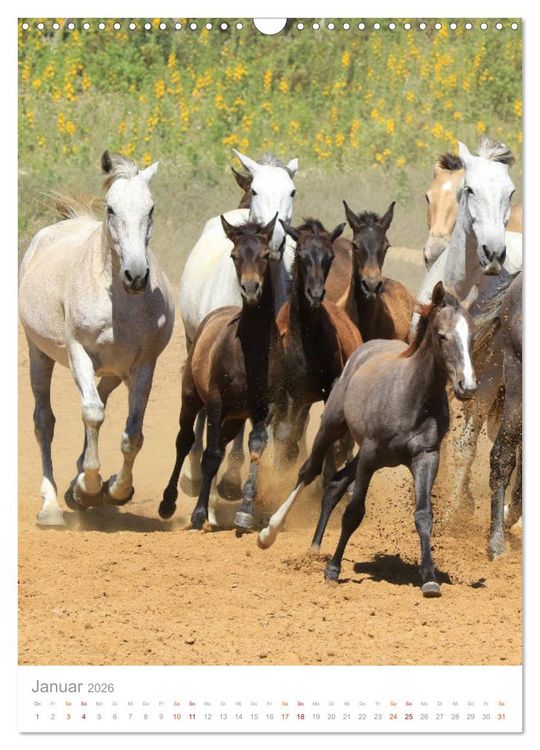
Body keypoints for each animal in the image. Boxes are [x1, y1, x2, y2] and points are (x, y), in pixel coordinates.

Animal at [19, 151, 175, 527]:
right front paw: (88, 489)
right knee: (44, 421)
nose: (136, 275)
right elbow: (91, 414)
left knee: (101, 398)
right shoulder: (80, 354)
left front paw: (117, 489)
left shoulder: (143, 365)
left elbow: (133, 435)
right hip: (38, 354)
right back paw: (51, 507)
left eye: (151, 208)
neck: (119, 303)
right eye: (111, 209)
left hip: (115, 373)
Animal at [159, 215, 285, 534]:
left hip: (234, 418)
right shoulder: (216, 402)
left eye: (266, 254)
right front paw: (199, 514)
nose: (251, 289)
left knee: (221, 443)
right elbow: (211, 454)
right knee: (185, 441)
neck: (251, 351)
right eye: (234, 255)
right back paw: (169, 503)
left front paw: (244, 513)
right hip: (192, 398)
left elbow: (255, 449)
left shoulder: (264, 408)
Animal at [178, 150, 298, 508]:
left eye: (292, 191)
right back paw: (193, 471)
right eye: (255, 189)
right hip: (193, 344)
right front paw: (229, 480)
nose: (275, 240)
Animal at [258, 282, 478, 597]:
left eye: (472, 336)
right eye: (442, 336)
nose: (467, 386)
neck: (412, 396)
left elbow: (424, 515)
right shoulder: (371, 454)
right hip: (333, 428)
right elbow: (353, 512)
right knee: (308, 472)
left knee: (335, 483)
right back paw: (270, 532)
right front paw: (333, 570)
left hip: (365, 454)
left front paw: (430, 578)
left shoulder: (425, 457)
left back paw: (314, 547)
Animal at [273, 219, 362, 465]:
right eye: (301, 254)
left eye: (329, 256)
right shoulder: (286, 390)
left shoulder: (330, 385)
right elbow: (284, 433)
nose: (315, 294)